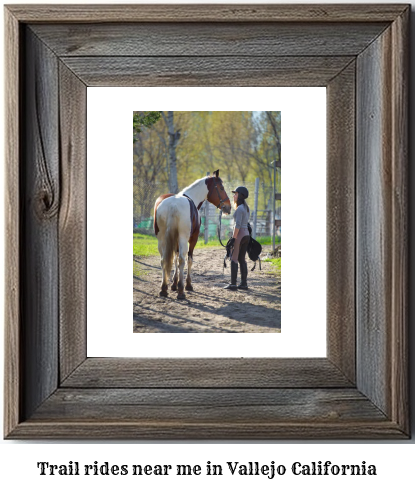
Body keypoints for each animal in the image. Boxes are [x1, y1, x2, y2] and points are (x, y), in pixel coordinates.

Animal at [154, 169, 232, 298]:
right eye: (221, 188)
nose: (228, 207)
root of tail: (173, 205)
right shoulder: (193, 239)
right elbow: (189, 260)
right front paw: (187, 285)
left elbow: (174, 259)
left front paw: (174, 284)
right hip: (183, 238)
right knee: (182, 260)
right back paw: (181, 291)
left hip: (162, 239)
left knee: (164, 260)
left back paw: (163, 288)